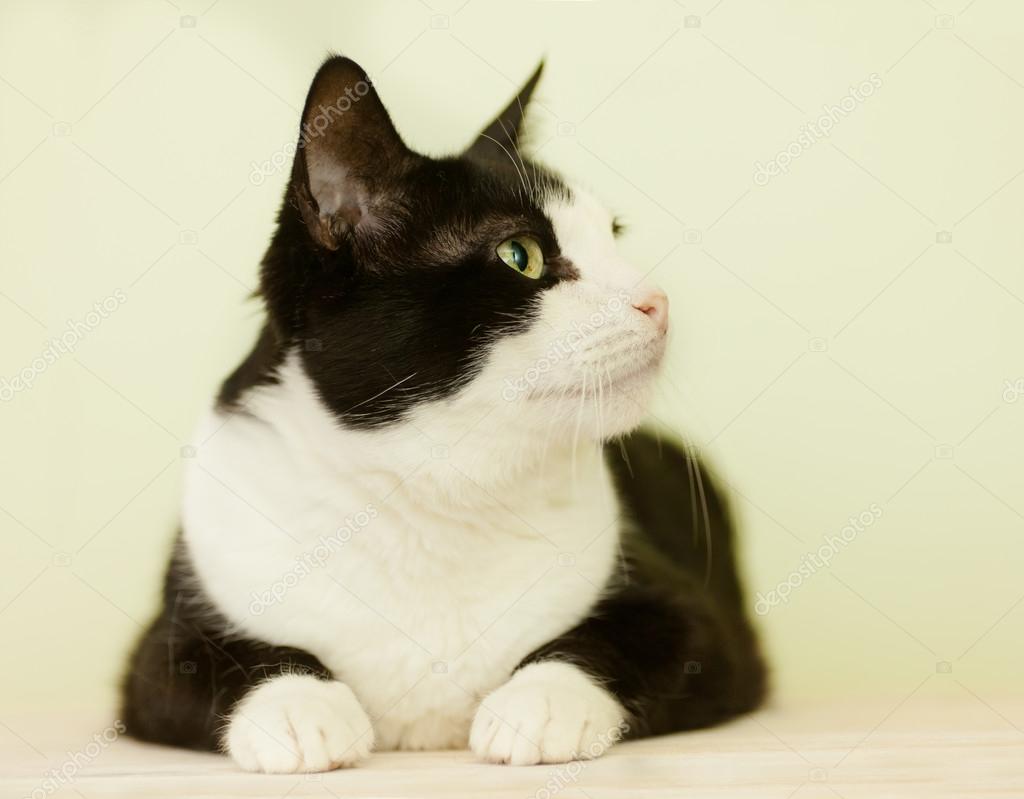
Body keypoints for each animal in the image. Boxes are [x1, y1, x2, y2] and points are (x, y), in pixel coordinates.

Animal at [119, 56, 765, 774]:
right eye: (520, 255)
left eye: (614, 239)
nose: (657, 302)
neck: (441, 489)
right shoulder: (161, 644)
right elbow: (210, 658)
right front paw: (300, 705)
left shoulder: (709, 624)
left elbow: (629, 637)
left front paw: (539, 701)